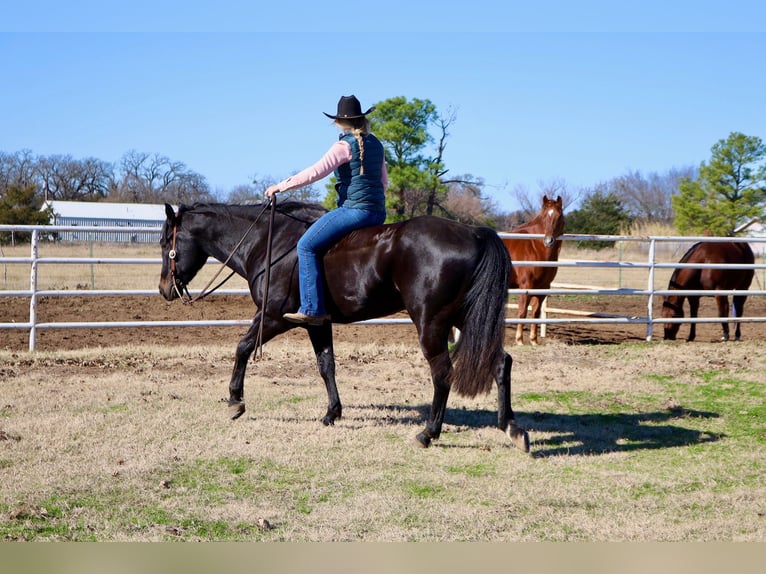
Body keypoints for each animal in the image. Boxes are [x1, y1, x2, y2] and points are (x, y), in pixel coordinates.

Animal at [159, 202, 532, 454]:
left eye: (165, 243)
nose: (164, 289)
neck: (271, 244)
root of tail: (474, 232)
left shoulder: (273, 317)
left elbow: (242, 347)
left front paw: (235, 400)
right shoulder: (316, 323)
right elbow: (326, 365)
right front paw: (331, 413)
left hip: (432, 324)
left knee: (442, 373)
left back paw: (428, 432)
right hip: (466, 319)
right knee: (501, 363)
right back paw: (511, 428)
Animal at [500, 196, 568, 346]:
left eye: (559, 216)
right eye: (544, 216)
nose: (549, 241)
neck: (534, 246)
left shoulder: (543, 287)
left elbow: (535, 314)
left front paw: (534, 340)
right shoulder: (526, 287)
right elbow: (522, 312)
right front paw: (519, 340)